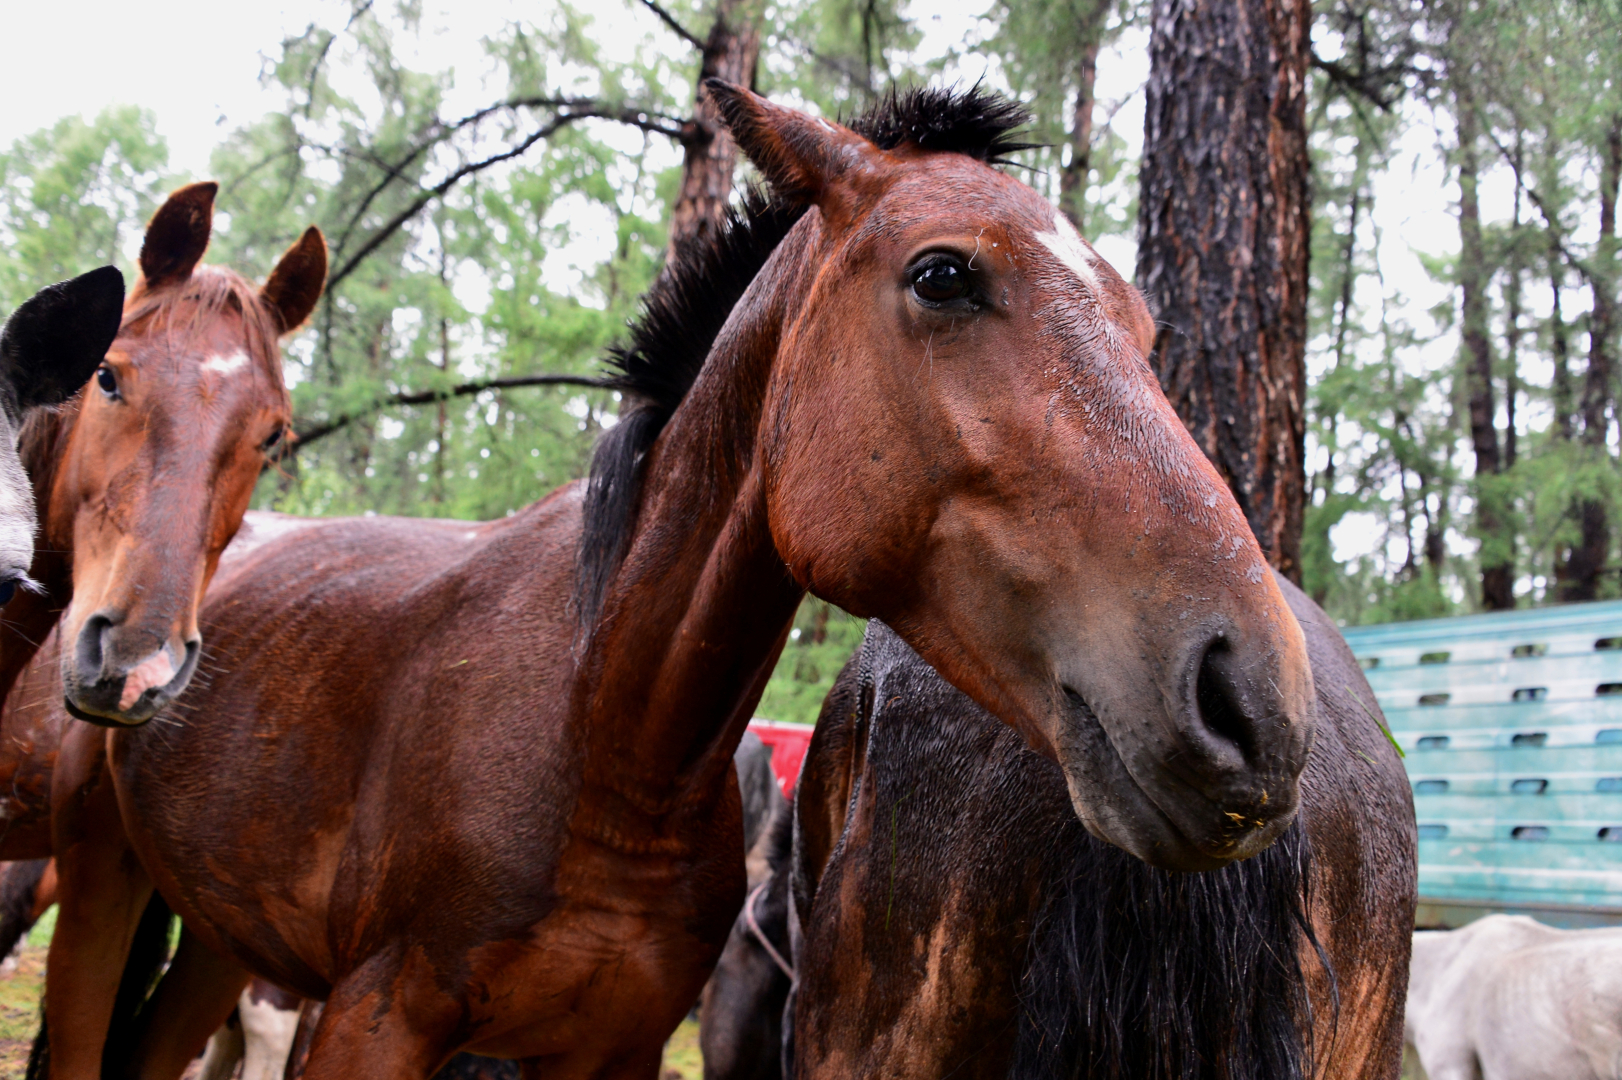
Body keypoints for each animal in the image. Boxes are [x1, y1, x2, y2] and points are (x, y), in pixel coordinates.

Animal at [50, 86, 1317, 1076]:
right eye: (942, 274)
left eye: (1141, 327)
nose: (1254, 707)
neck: (607, 745)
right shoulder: (371, 1025)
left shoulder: (609, 1048)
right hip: (103, 881)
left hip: (218, 938)